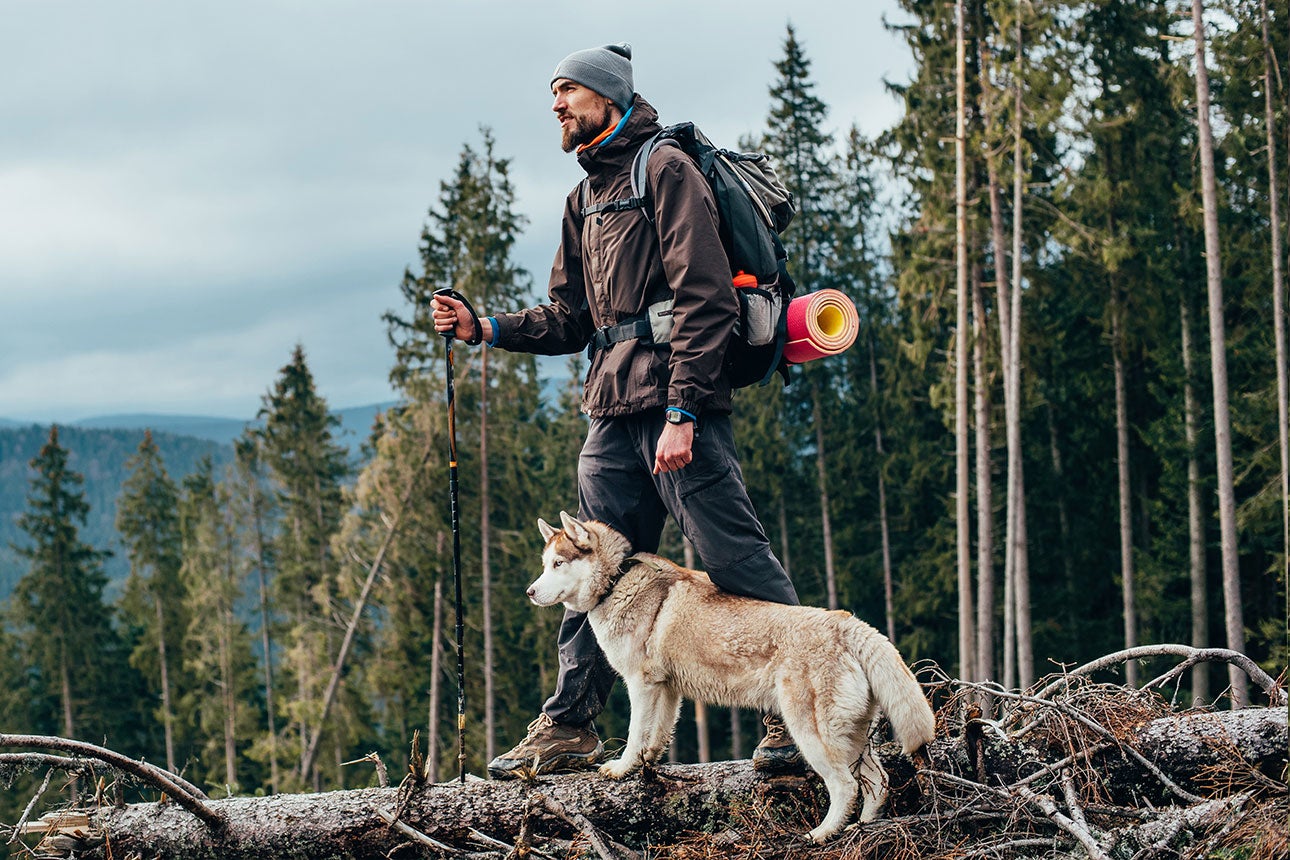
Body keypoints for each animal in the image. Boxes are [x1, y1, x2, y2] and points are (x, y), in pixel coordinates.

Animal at [526, 510, 939, 840]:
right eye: (546, 564)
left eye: (558, 564)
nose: (529, 592)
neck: (615, 583)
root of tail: (848, 624)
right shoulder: (666, 688)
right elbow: (657, 735)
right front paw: (649, 765)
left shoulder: (640, 684)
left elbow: (634, 735)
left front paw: (623, 768)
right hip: (852, 739)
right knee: (878, 783)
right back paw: (864, 827)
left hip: (813, 737)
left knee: (845, 787)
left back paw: (821, 835)